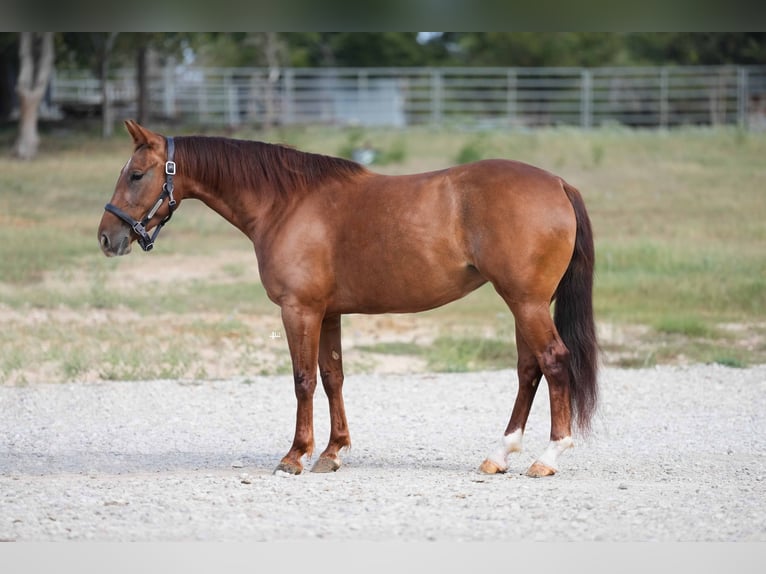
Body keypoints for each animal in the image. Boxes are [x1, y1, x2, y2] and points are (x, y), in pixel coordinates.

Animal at [98, 120, 598, 478]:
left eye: (136, 175)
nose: (107, 237)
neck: (287, 203)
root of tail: (558, 183)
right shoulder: (329, 313)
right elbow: (333, 376)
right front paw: (333, 452)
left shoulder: (299, 310)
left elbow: (303, 380)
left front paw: (295, 455)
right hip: (523, 303)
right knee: (529, 369)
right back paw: (500, 453)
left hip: (526, 302)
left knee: (554, 362)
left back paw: (547, 457)